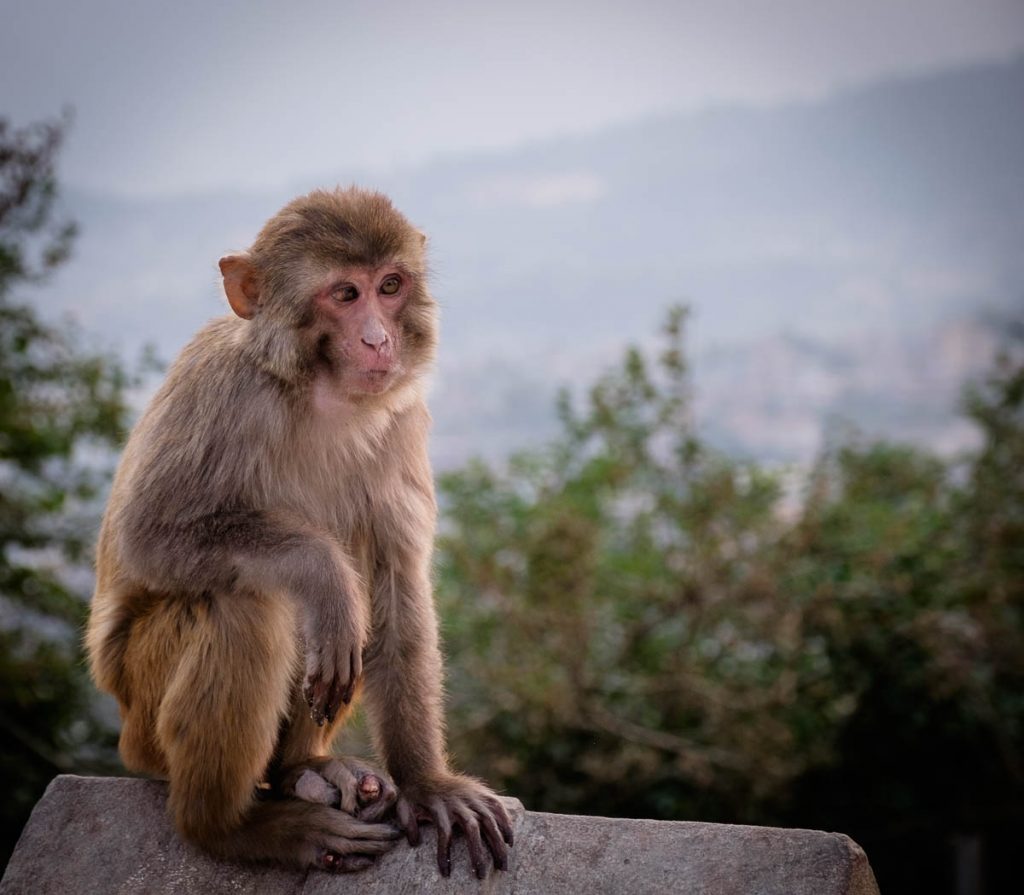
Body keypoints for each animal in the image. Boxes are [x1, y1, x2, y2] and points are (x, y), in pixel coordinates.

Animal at [86, 185, 512, 876]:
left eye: (390, 286)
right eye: (345, 294)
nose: (378, 340)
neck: (318, 390)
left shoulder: (402, 420)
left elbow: (394, 580)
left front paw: (427, 783)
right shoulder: (220, 391)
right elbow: (147, 536)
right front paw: (323, 574)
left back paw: (300, 771)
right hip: (141, 707)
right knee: (248, 606)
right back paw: (234, 827)